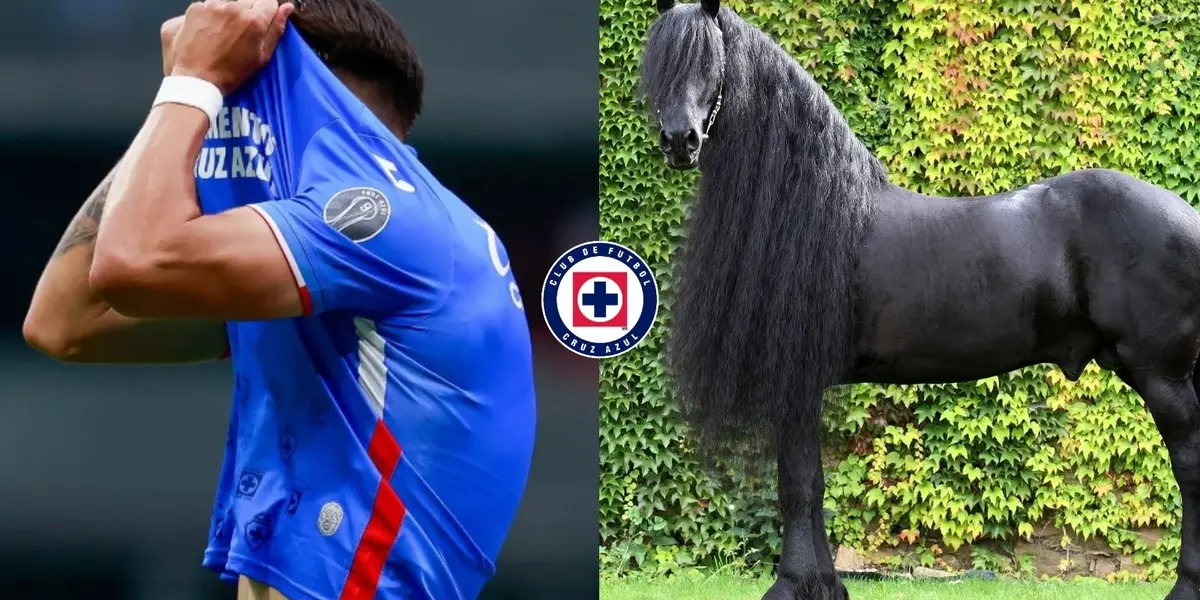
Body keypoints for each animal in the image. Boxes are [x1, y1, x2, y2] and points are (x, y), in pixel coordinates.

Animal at [641, 1, 1200, 599]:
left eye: (712, 60)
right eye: (659, 62)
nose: (680, 140)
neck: (813, 212)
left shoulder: (795, 379)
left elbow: (798, 483)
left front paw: (793, 583)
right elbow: (809, 483)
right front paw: (822, 583)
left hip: (1161, 374)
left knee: (1190, 464)